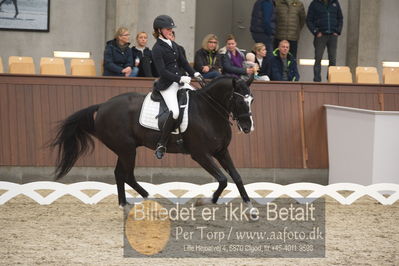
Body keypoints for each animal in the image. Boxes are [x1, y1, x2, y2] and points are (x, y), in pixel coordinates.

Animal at [51, 76, 256, 211]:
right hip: (127, 150)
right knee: (128, 175)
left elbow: (236, 177)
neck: (208, 110)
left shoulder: (221, 151)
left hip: (125, 150)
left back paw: (125, 204)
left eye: (251, 100)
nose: (248, 127)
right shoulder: (200, 154)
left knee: (120, 174)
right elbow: (222, 179)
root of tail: (102, 106)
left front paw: (250, 206)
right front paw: (204, 201)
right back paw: (153, 201)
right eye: (239, 100)